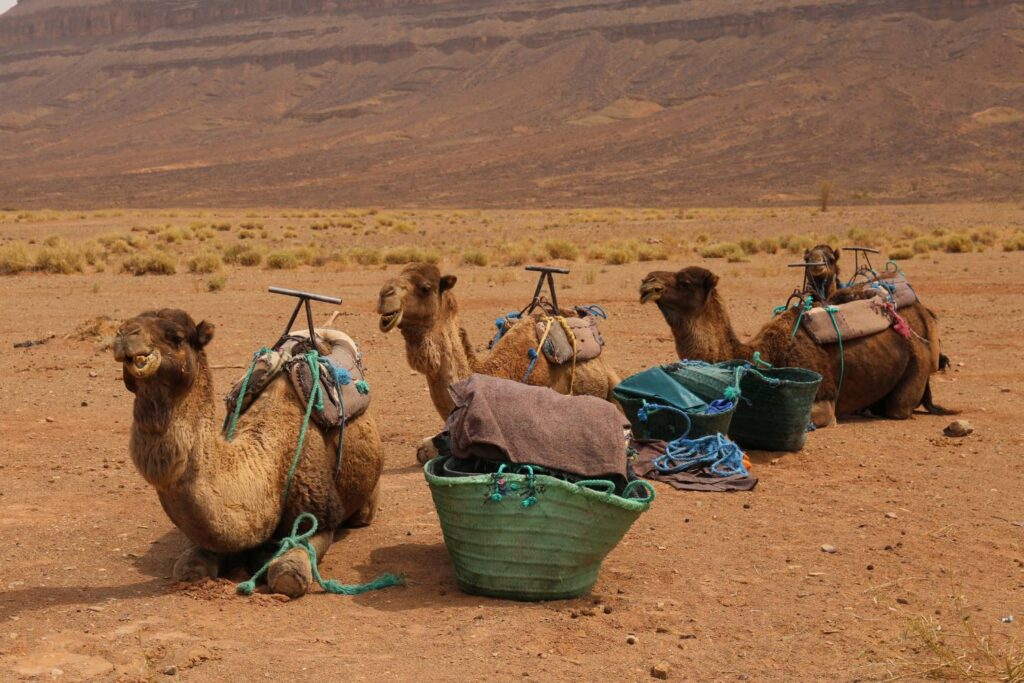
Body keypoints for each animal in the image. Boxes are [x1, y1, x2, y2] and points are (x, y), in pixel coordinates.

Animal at [638, 266, 950, 428]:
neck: (764, 354)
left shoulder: (823, 401)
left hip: (919, 360)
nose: (647, 281)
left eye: (685, 281)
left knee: (898, 408)